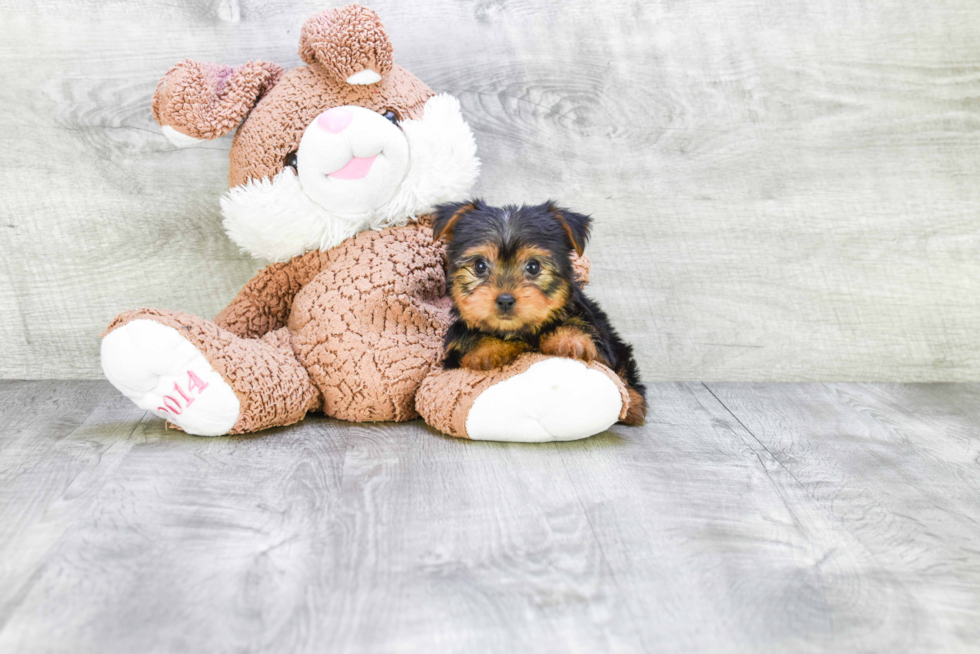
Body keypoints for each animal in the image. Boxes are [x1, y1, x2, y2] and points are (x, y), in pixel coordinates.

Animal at [432, 199, 648, 426]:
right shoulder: (454, 349)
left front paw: (570, 340)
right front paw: (486, 349)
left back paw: (634, 404)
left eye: (533, 266)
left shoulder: (599, 340)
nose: (505, 300)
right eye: (479, 265)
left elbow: (580, 325)